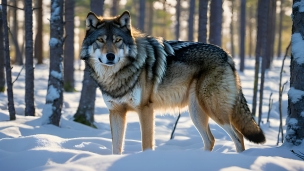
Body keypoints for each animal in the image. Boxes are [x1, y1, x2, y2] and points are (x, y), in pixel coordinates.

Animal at [81, 11, 266, 155]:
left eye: (118, 40)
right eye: (101, 40)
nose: (110, 56)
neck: (116, 76)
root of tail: (227, 55)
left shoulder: (145, 109)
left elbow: (146, 144)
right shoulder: (116, 112)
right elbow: (116, 148)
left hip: (213, 110)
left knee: (238, 136)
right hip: (196, 113)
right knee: (211, 140)